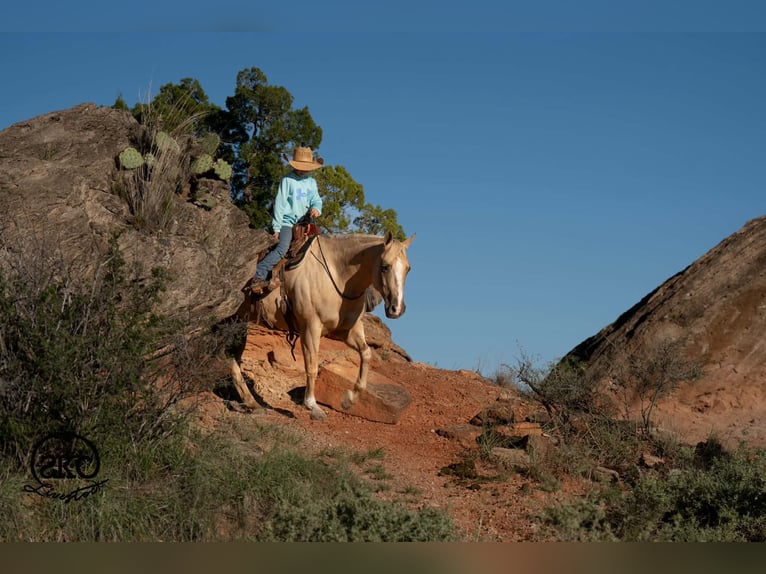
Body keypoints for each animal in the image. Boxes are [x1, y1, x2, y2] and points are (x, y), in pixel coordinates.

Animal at [228, 230, 415, 420]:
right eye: (385, 266)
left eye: (408, 269)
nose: (397, 309)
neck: (337, 275)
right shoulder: (311, 328)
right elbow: (312, 366)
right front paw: (312, 405)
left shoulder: (348, 331)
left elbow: (366, 354)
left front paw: (348, 400)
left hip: (238, 322)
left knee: (232, 358)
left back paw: (252, 403)